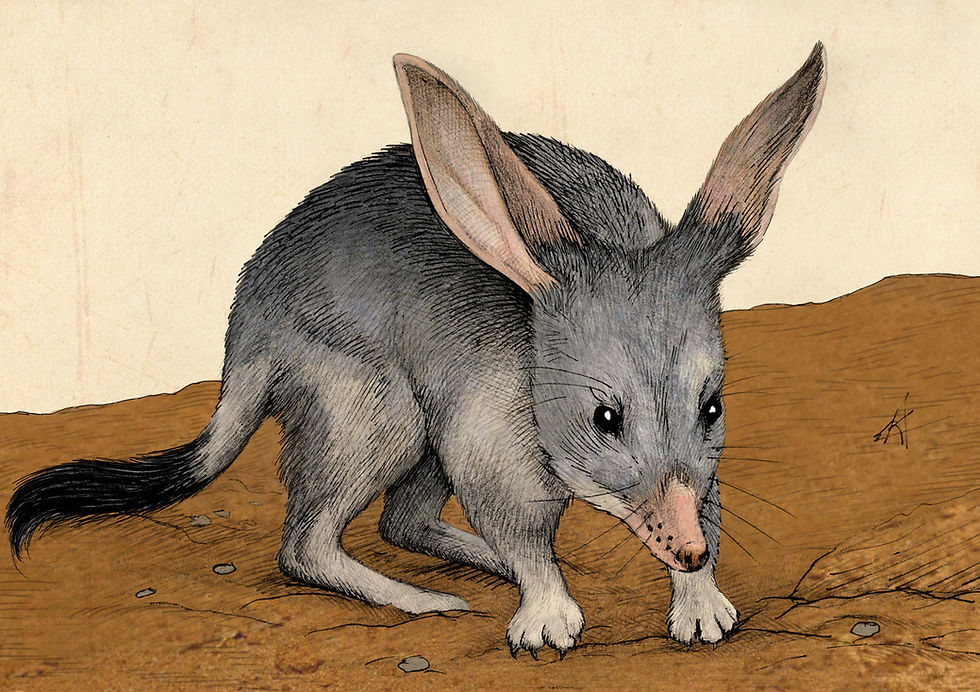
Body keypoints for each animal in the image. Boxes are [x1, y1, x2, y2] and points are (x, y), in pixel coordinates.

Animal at [7, 44, 825, 657]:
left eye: (712, 407)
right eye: (605, 418)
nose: (684, 551)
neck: (535, 356)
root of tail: (244, 337)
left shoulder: (698, 470)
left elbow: (705, 503)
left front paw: (702, 608)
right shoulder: (491, 446)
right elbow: (525, 537)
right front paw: (548, 622)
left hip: (417, 436)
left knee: (397, 522)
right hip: (377, 413)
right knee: (305, 546)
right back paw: (426, 599)